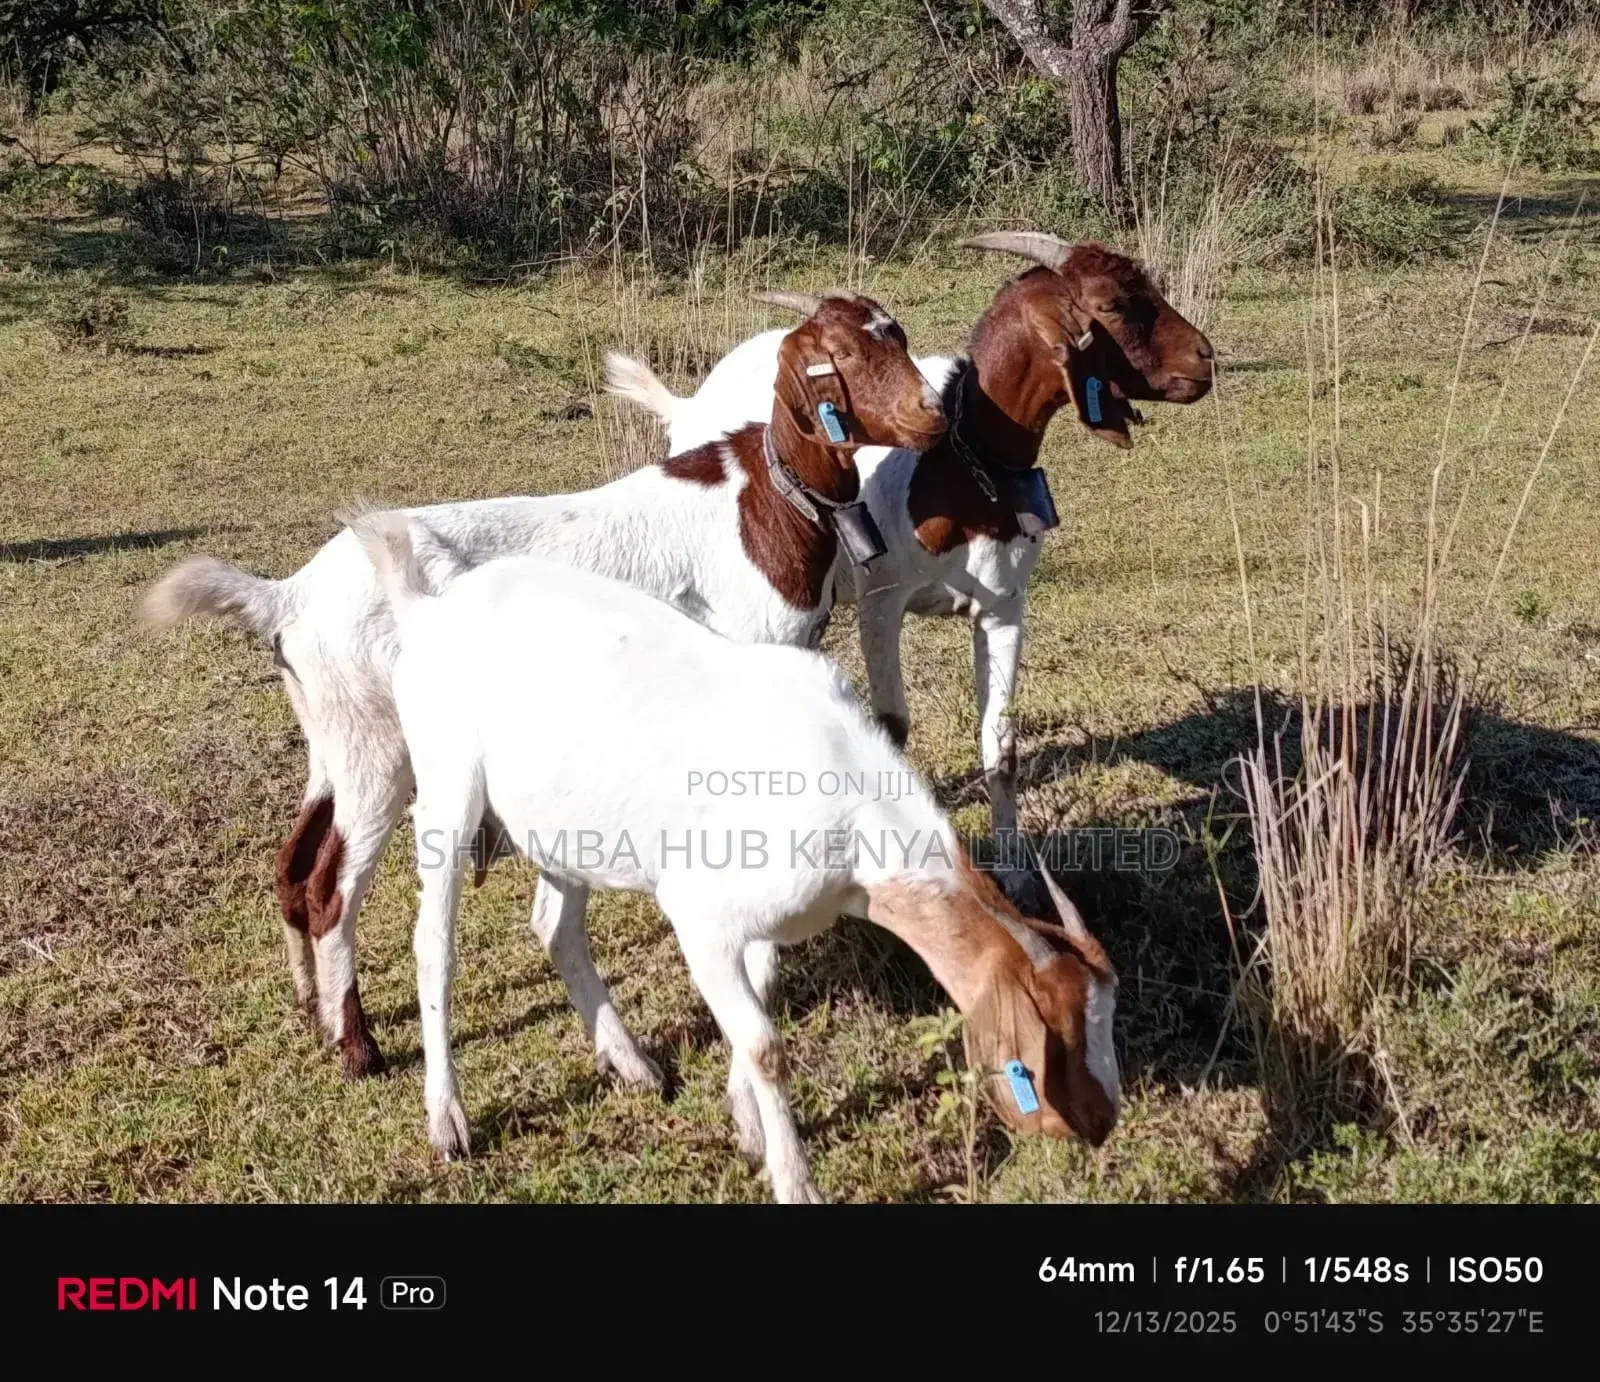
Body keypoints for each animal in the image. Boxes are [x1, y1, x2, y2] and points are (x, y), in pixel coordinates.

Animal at [142, 292, 944, 1082]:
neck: (762, 499)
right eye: (840, 358)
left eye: (899, 337)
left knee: (294, 863)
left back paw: (313, 1007)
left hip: (334, 737)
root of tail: (286, 597)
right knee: (330, 890)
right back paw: (358, 1048)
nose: (930, 413)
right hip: (381, 751)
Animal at [352, 507, 1119, 1201]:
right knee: (434, 944)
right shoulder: (701, 916)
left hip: (568, 825)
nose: (1102, 1124)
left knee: (556, 925)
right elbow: (765, 1045)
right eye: (1045, 1048)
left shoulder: (767, 921)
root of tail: (427, 610)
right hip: (449, 787)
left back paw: (633, 1064)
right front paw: (794, 1180)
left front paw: (747, 1123)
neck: (847, 792)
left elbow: (763, 999)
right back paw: (448, 1120)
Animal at [606, 235, 1213, 844]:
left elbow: (1002, 746)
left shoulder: (1005, 608)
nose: (1205, 358)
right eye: (1109, 304)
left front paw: (1013, 860)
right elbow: (892, 728)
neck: (960, 465)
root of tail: (688, 404)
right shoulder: (881, 601)